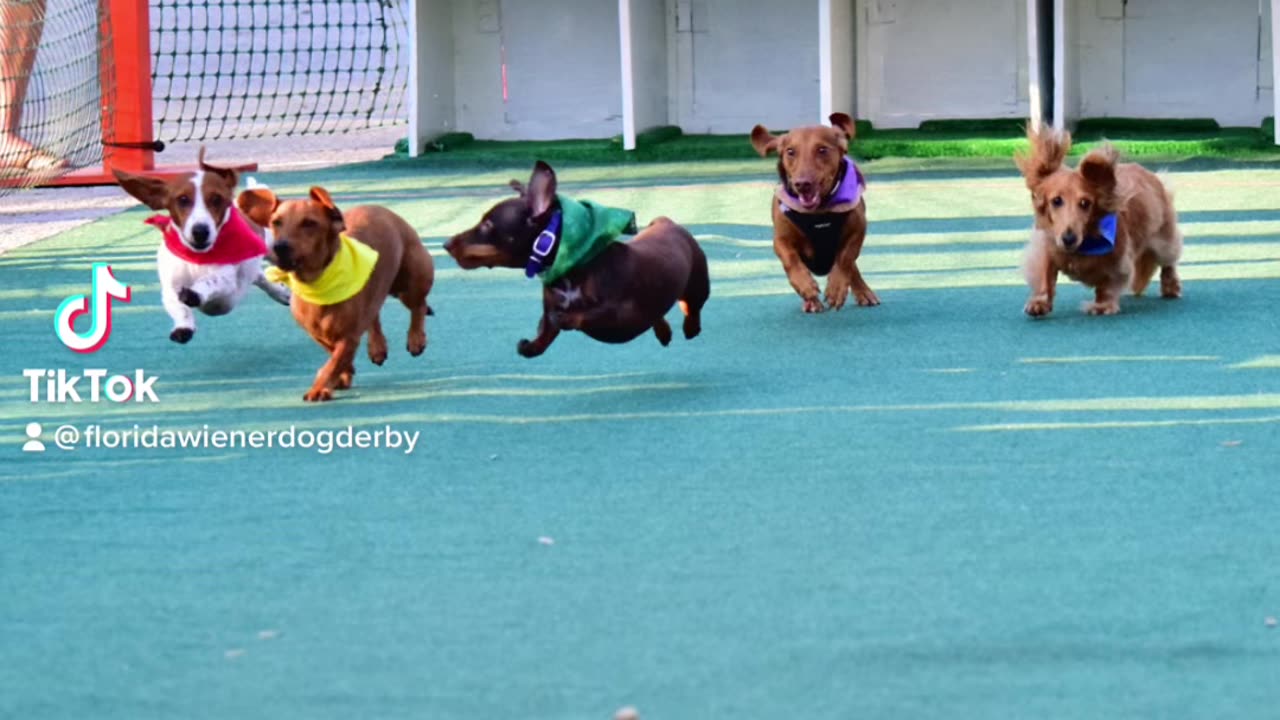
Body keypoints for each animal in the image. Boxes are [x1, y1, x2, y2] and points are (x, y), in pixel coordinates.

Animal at [113, 147, 289, 340]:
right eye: (182, 199)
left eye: (217, 199)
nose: (200, 231)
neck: (196, 258)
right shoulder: (170, 288)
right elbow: (179, 307)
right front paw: (183, 327)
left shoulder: (225, 281)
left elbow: (210, 282)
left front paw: (195, 293)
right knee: (259, 276)